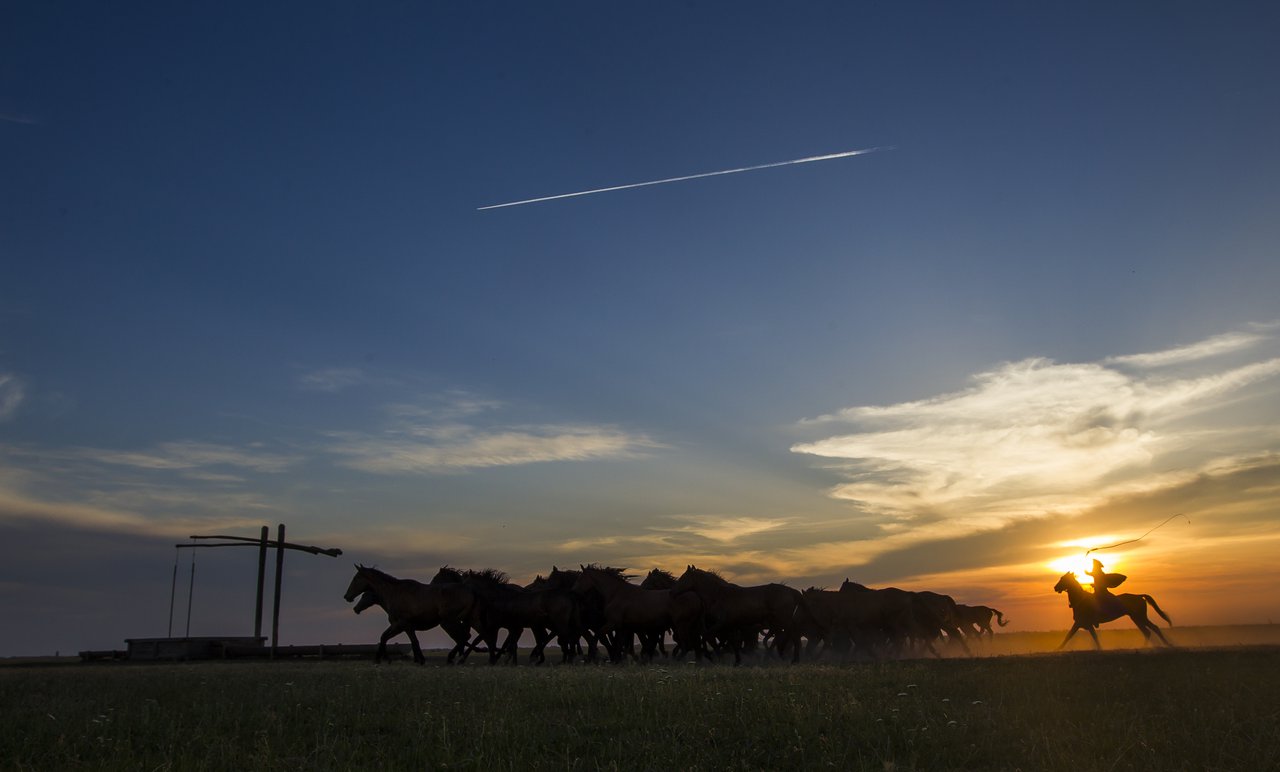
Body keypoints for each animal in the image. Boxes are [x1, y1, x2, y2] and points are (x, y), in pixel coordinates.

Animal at [343, 565, 478, 665]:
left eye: (355, 579)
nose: (347, 596)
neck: (394, 593)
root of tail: (469, 591)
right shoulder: (400, 626)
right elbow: (384, 637)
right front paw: (381, 658)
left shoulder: (404, 624)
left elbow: (414, 641)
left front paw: (420, 660)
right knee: (464, 637)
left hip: (449, 622)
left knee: (464, 636)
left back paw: (453, 658)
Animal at [670, 565, 798, 665]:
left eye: (683, 577)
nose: (672, 592)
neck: (718, 595)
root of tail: (791, 591)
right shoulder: (730, 625)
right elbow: (732, 642)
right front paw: (736, 661)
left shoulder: (720, 624)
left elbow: (708, 637)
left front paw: (712, 655)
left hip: (782, 620)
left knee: (790, 635)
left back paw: (789, 658)